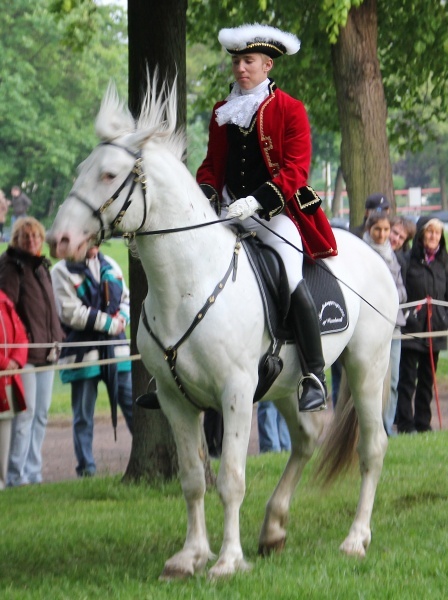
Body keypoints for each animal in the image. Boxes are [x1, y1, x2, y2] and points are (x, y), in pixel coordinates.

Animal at [47, 77, 398, 580]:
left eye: (110, 176)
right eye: (82, 171)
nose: (60, 240)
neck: (187, 283)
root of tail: (372, 250)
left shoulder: (235, 391)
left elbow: (231, 478)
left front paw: (228, 561)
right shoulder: (174, 399)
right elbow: (193, 479)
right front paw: (190, 555)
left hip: (368, 365)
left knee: (372, 449)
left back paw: (355, 539)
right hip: (285, 384)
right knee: (306, 439)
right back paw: (274, 529)